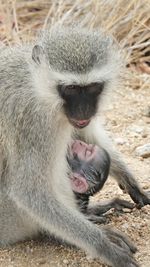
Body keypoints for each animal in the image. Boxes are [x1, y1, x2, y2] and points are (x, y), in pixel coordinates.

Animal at [0, 24, 149, 266]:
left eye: (93, 87)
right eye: (70, 88)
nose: (83, 110)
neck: (37, 86)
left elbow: (85, 131)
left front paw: (131, 182)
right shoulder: (34, 123)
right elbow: (28, 192)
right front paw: (104, 246)